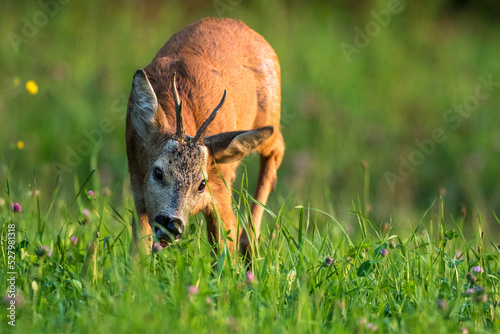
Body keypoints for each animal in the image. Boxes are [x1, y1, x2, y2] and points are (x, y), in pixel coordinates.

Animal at [126, 17, 286, 258]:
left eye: (202, 183)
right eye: (158, 172)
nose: (173, 225)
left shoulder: (220, 186)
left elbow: (225, 251)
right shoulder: (137, 186)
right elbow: (138, 254)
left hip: (269, 115)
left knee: (278, 146)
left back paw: (249, 242)